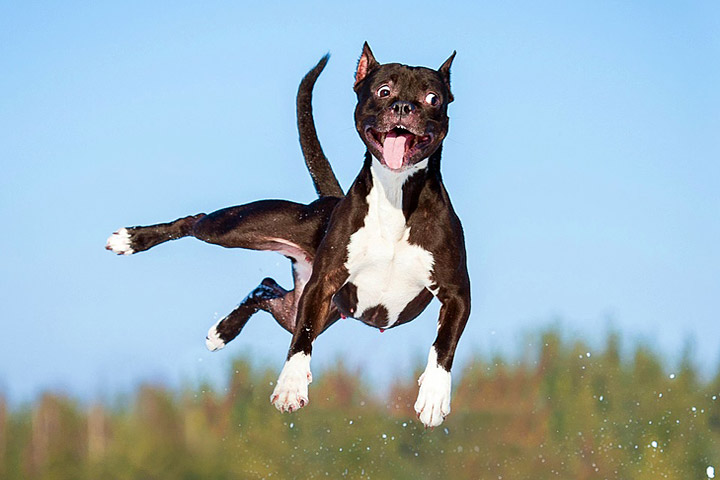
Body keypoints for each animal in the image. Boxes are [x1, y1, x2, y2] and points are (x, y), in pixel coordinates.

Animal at [104, 44, 470, 428]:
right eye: (384, 90)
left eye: (433, 98)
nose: (403, 107)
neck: (395, 194)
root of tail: (330, 200)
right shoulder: (322, 285)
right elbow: (302, 341)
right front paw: (292, 385)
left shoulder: (457, 295)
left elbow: (444, 344)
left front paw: (434, 396)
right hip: (236, 229)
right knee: (195, 222)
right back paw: (131, 240)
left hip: (296, 306)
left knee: (265, 287)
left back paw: (222, 331)